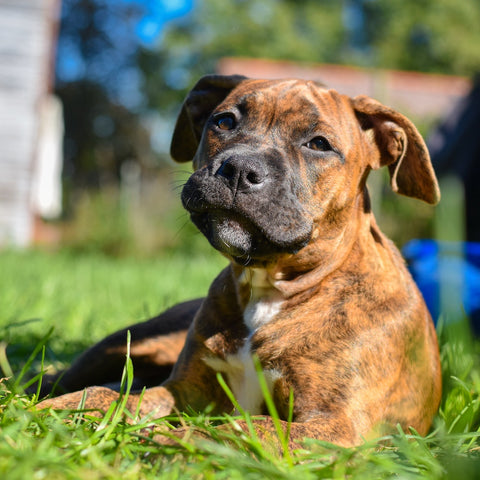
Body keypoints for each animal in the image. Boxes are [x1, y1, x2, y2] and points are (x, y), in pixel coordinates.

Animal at [36, 73, 442, 448]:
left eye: (318, 144)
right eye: (224, 121)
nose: (240, 169)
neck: (269, 287)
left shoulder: (335, 425)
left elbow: (242, 426)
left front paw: (171, 439)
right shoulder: (183, 390)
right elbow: (114, 397)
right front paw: (58, 410)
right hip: (123, 345)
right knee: (69, 375)